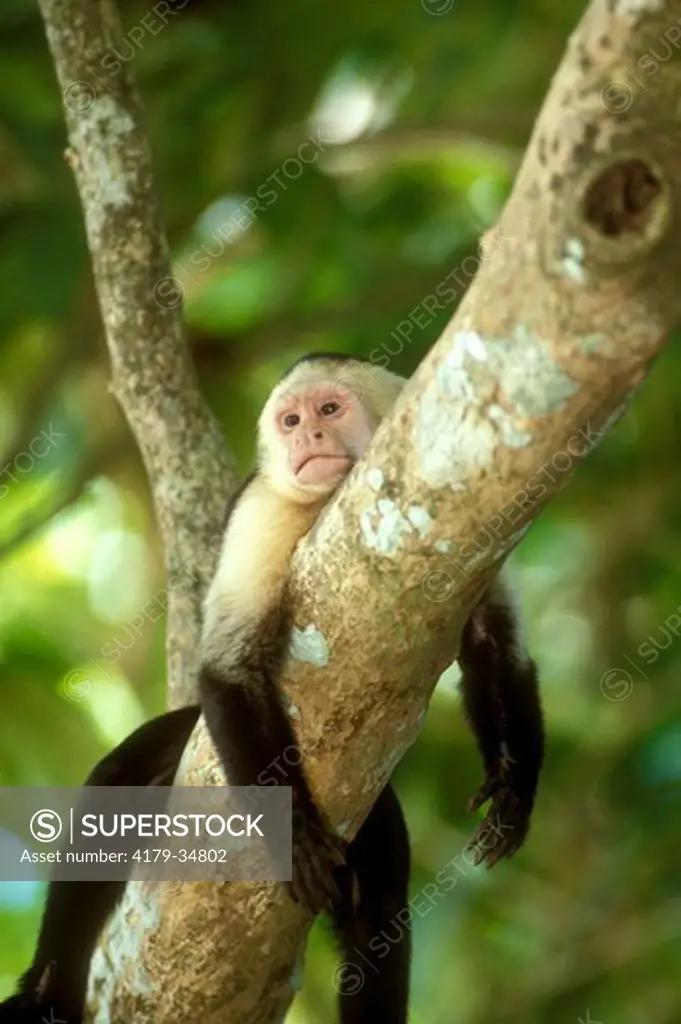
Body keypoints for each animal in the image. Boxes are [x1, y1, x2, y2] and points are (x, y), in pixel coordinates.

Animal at [0, 354, 540, 1024]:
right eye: (290, 420)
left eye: (329, 409)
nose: (308, 436)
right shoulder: (265, 508)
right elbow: (228, 671)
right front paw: (294, 836)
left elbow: (497, 650)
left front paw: (513, 789)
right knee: (114, 787)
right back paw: (45, 991)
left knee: (379, 913)